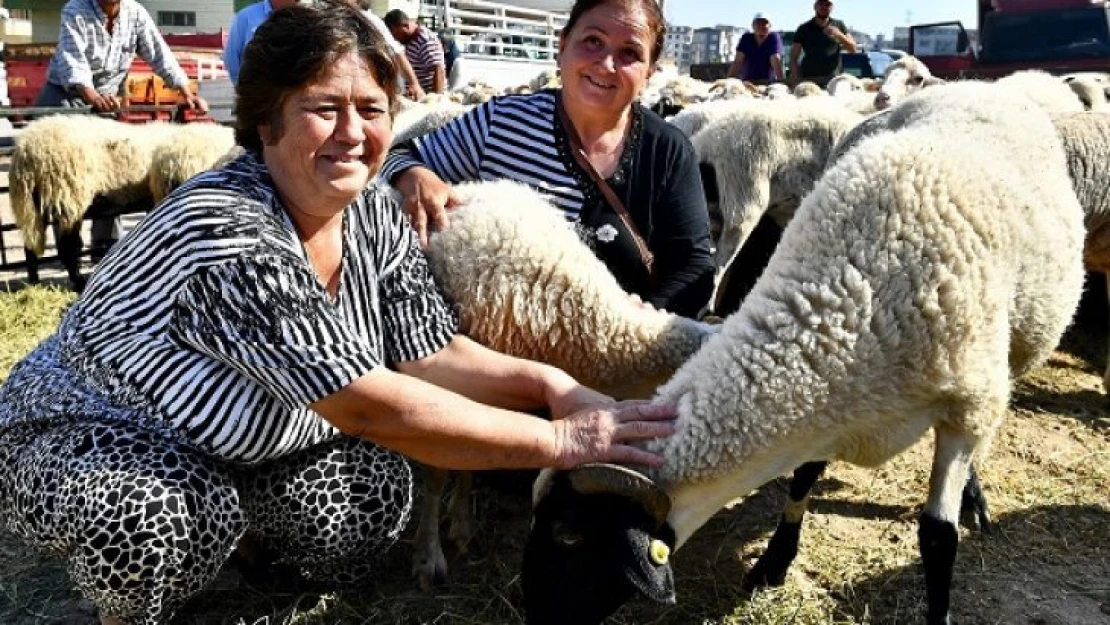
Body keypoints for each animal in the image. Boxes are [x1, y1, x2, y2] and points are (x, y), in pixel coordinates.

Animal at [523, 79, 1087, 625]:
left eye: (568, 535)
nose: (533, 618)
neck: (856, 296)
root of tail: (976, 85)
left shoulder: (964, 406)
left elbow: (937, 537)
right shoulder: (830, 403)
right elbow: (803, 477)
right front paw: (775, 560)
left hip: (1007, 360)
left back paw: (974, 495)